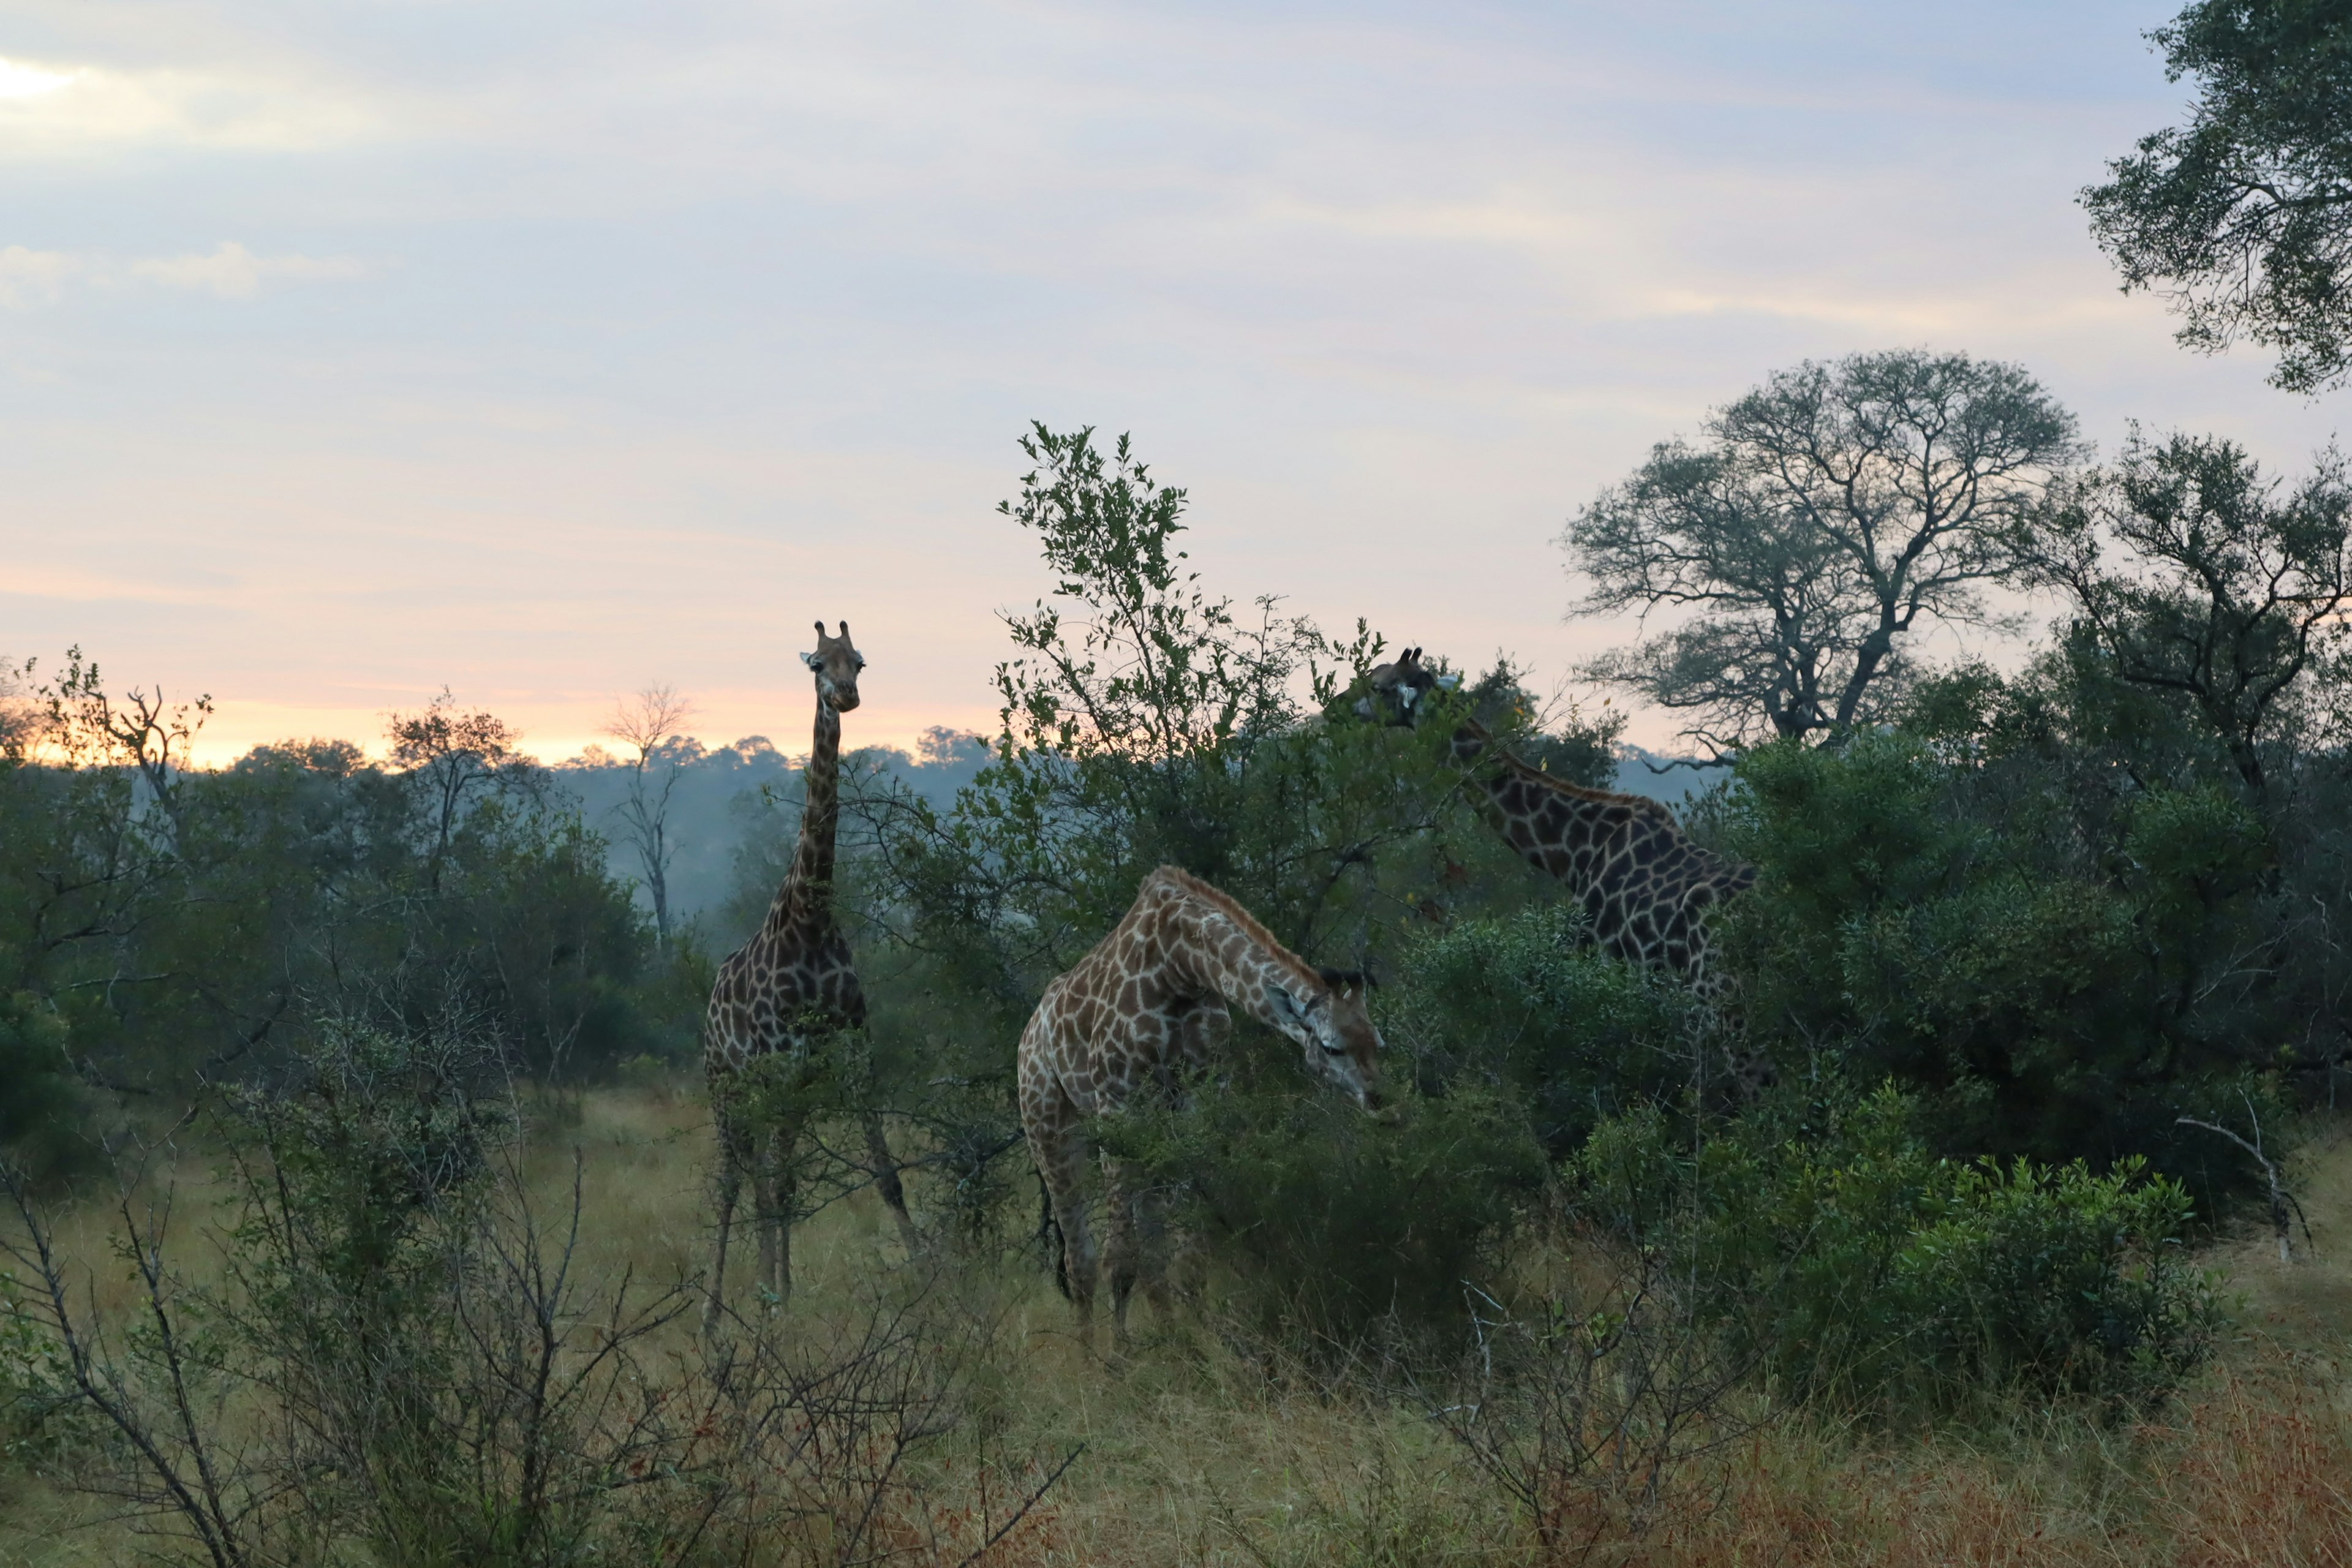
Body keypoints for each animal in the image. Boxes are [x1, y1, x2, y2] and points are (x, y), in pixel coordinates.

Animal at [691, 620, 912, 1335]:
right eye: (816, 663)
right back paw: (715, 1314)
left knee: (775, 1168)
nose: (844, 696)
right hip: (727, 1085)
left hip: (783, 1090)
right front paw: (766, 1306)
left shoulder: (849, 1046)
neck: (812, 918)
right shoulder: (781, 1059)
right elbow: (769, 1187)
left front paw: (934, 1274)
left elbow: (884, 1170)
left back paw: (777, 1289)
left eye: (860, 661)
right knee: (738, 1180)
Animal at [1020, 865, 1382, 1344]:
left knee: (1148, 1248)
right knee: (1080, 1260)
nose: (1380, 1101)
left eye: (1378, 1042)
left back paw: (1167, 1334)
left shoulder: (1201, 1092)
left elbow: (1190, 1251)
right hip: (1049, 1121)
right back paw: (1092, 1354)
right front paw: (1121, 1357)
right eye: (1331, 1047)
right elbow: (1120, 1257)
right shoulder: (1115, 1099)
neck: (1179, 965)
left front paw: (1198, 1344)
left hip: (1150, 1123)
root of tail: (1030, 1029)